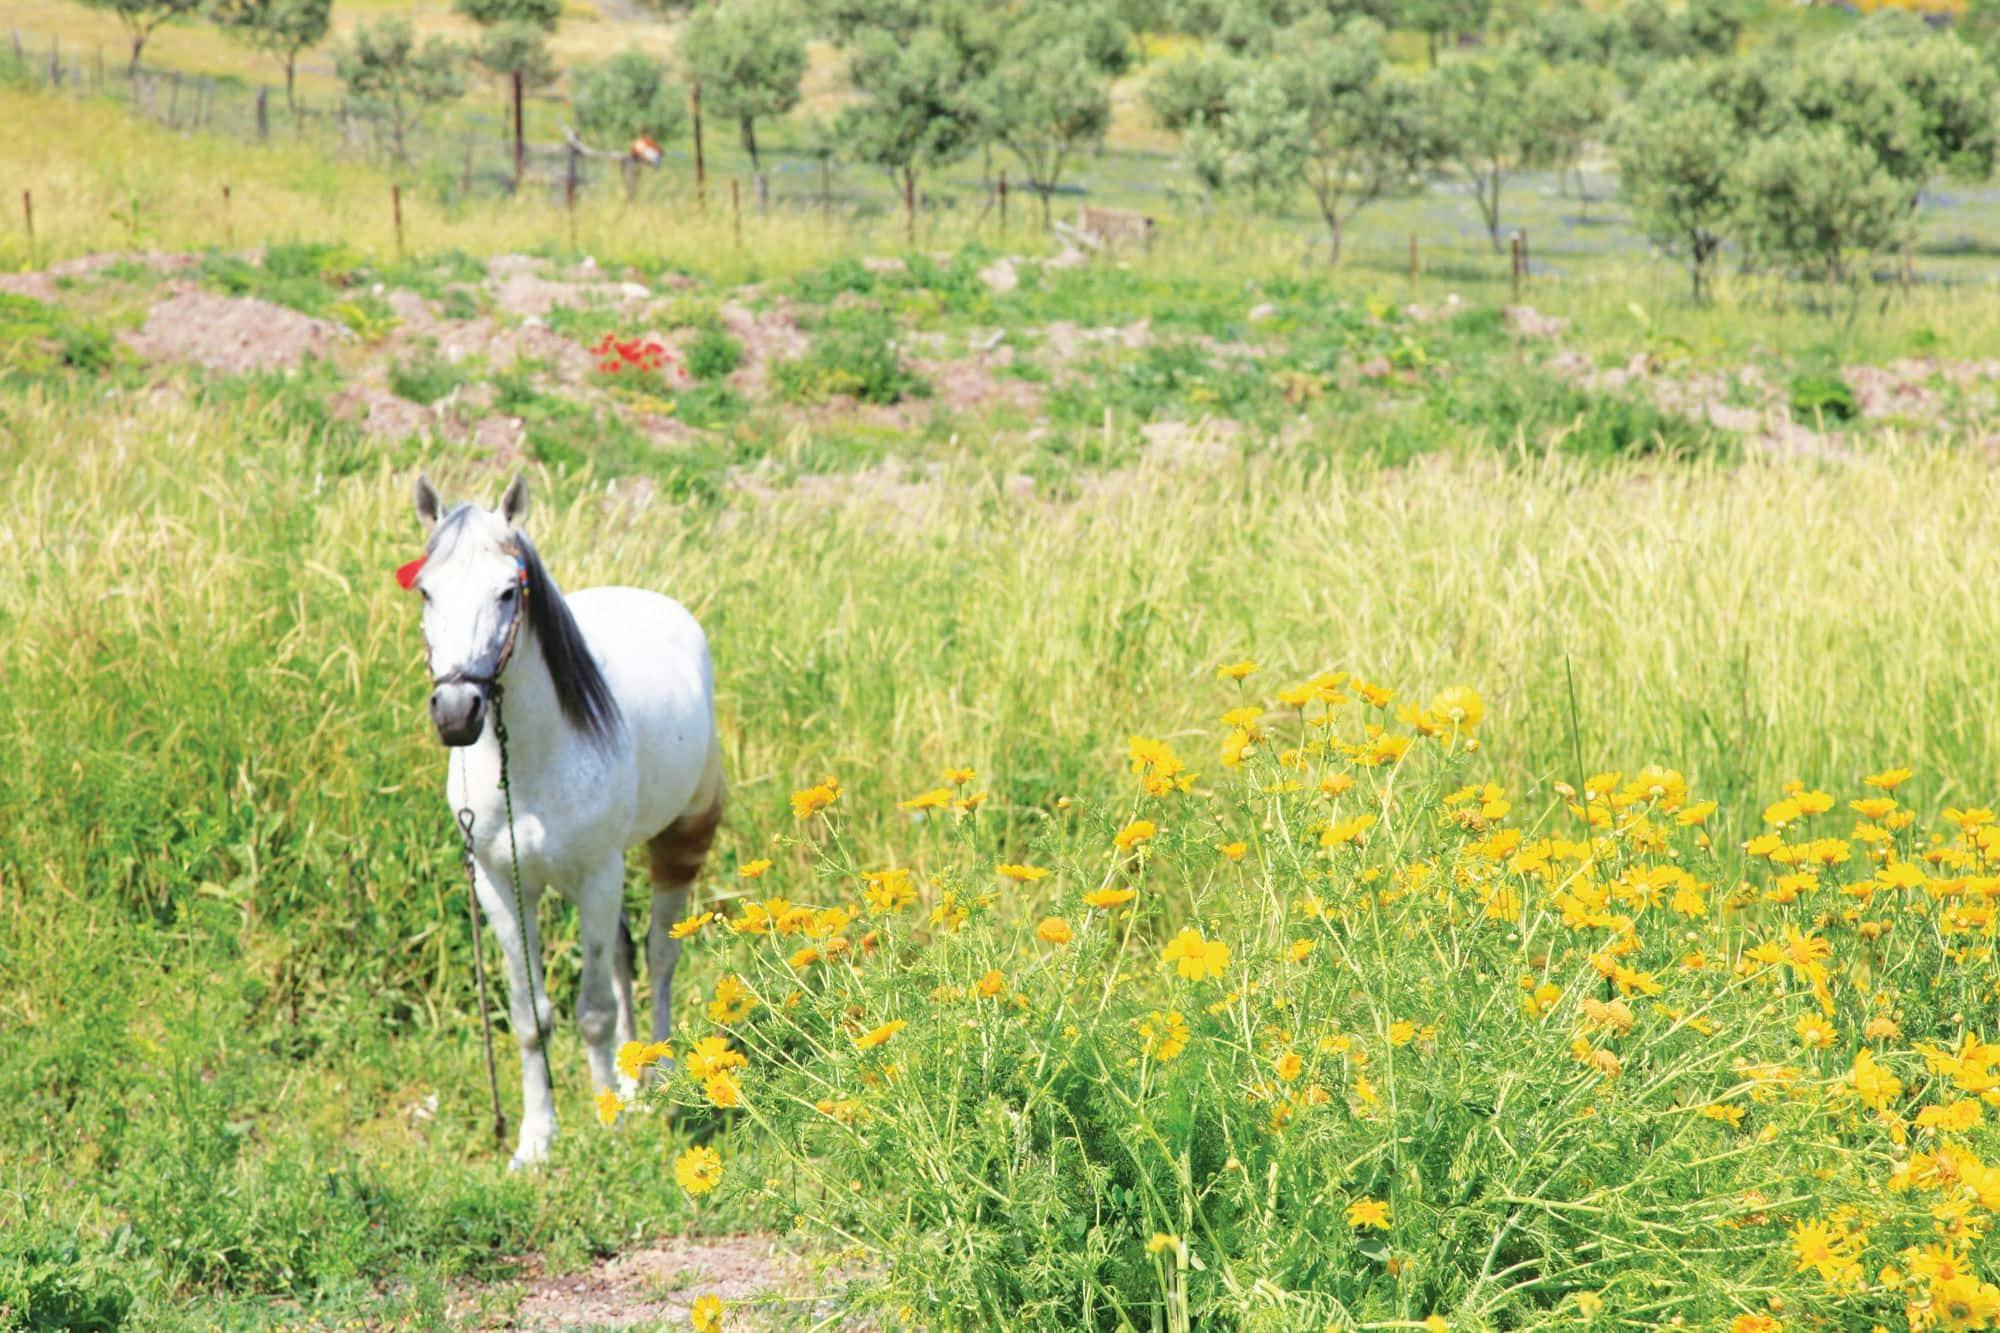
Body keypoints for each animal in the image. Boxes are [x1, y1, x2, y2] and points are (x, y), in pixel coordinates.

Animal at [404, 474, 720, 1160]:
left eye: (507, 591)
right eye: (426, 591)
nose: (456, 712)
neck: (528, 763)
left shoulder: (595, 875)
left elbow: (593, 1011)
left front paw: (606, 1124)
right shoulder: (499, 886)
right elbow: (531, 1018)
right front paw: (536, 1138)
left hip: (673, 841)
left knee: (658, 955)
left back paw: (662, 1075)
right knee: (626, 956)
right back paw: (634, 1078)